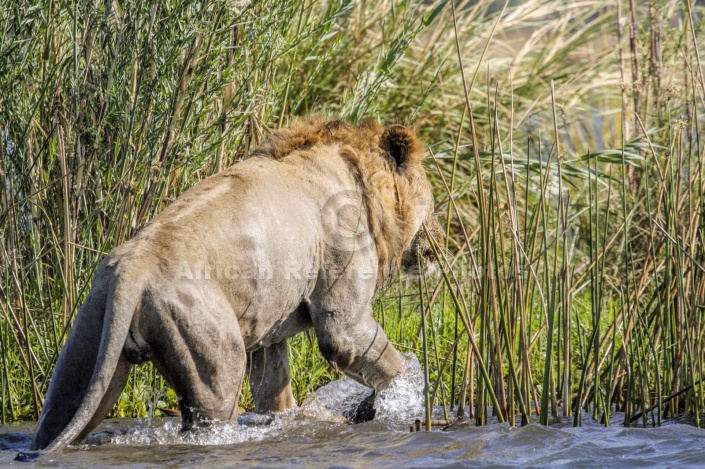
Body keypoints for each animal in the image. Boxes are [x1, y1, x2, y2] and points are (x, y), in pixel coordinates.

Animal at [30, 117, 442, 454]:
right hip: (216, 355)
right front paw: (403, 400)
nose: (440, 240)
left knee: (59, 414)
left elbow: (274, 393)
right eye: (434, 203)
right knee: (209, 418)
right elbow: (386, 362)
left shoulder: (269, 330)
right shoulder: (342, 319)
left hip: (86, 351)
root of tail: (130, 271)